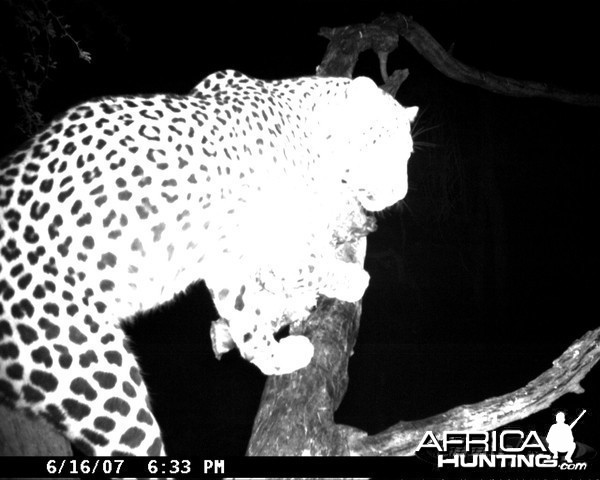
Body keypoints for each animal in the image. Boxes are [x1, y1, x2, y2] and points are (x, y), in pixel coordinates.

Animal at [0, 69, 418, 456]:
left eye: (408, 156)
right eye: (384, 149)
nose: (400, 194)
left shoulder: (228, 254)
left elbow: (246, 316)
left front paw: (273, 356)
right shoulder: (269, 233)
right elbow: (303, 265)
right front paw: (350, 279)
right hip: (94, 372)